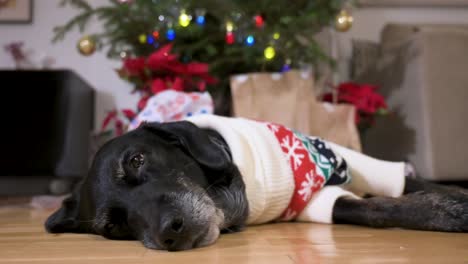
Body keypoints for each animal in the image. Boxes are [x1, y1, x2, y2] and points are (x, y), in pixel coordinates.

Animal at [45, 120, 468, 251]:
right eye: (114, 226)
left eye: (136, 160)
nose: (170, 231)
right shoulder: (316, 202)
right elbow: (377, 206)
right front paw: (448, 210)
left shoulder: (349, 158)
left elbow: (406, 183)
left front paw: (453, 200)